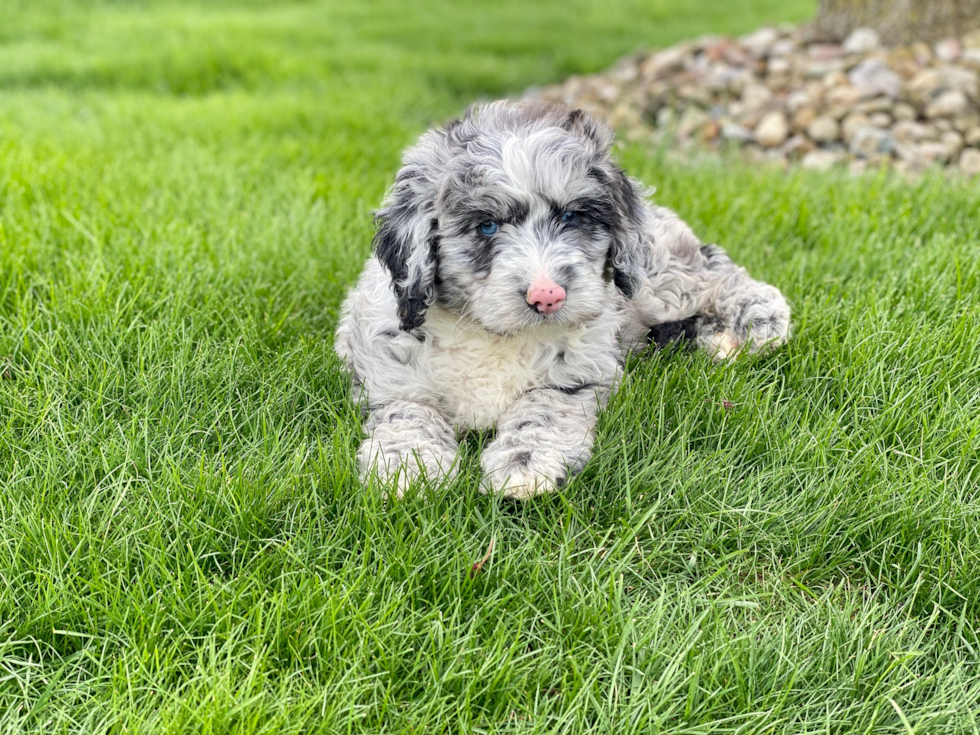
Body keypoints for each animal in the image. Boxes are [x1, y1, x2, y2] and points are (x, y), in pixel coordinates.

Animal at [336, 99, 788, 500]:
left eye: (572, 217)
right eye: (486, 226)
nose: (547, 295)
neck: (493, 334)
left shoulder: (581, 373)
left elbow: (544, 407)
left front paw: (525, 464)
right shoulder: (389, 377)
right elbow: (409, 413)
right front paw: (405, 466)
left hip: (657, 279)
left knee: (716, 270)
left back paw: (760, 319)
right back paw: (717, 339)